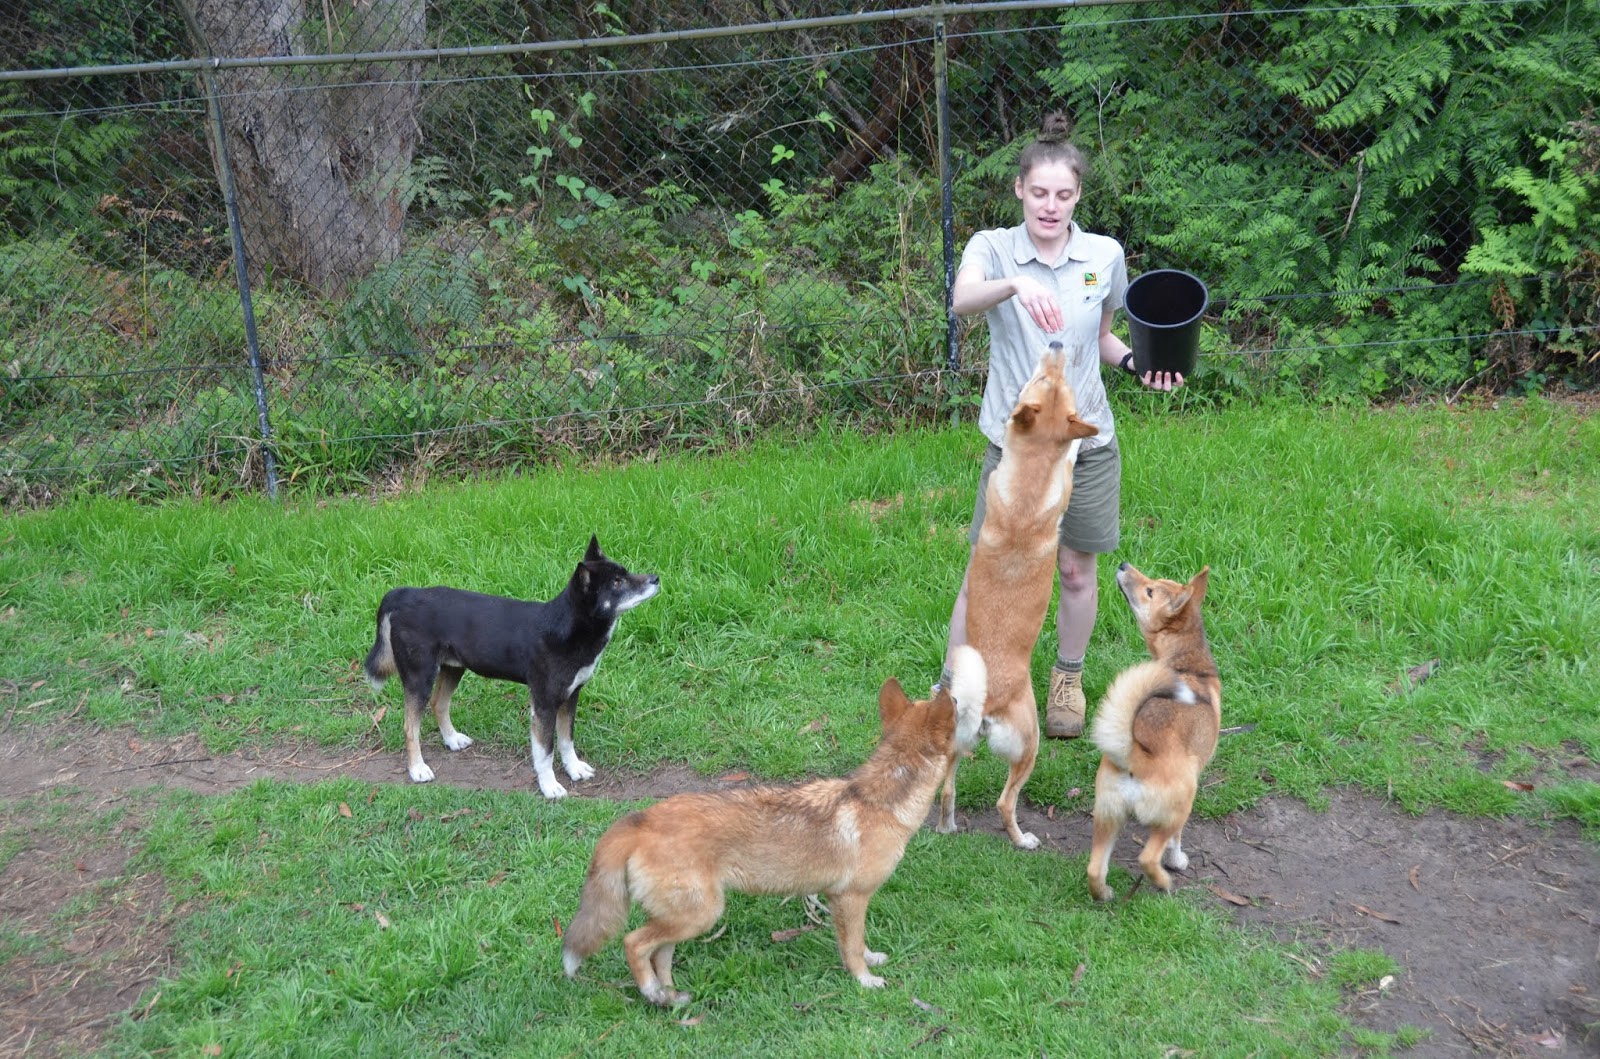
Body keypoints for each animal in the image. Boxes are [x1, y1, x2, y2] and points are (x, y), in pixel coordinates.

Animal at [363, 535, 659, 797]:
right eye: (618, 582)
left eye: (624, 572)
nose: (656, 578)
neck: (567, 627)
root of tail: (403, 594)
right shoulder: (543, 704)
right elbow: (546, 752)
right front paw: (549, 786)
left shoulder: (571, 696)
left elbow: (566, 740)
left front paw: (574, 769)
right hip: (419, 676)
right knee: (410, 726)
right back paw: (417, 769)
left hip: (453, 668)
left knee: (439, 703)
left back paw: (452, 739)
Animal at [560, 645, 987, 1007]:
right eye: (959, 712)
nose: (968, 710)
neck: (880, 802)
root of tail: (639, 820)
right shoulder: (851, 898)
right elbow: (852, 950)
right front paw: (865, 981)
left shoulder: (844, 901)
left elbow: (860, 943)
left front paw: (872, 960)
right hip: (700, 915)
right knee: (633, 943)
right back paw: (651, 992)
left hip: (686, 920)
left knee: (658, 955)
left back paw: (669, 997)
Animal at [938, 342, 1098, 849]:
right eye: (1044, 381)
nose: (1057, 344)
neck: (1031, 473)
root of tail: (985, 701)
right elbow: (1070, 456)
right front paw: (1079, 441)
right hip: (1029, 747)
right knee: (1005, 803)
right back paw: (1023, 839)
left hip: (957, 747)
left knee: (946, 788)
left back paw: (947, 826)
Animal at [1086, 563, 1219, 901]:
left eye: (1152, 587)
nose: (1123, 564)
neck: (1187, 666)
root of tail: (1135, 755)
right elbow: (1176, 842)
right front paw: (1177, 860)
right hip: (1179, 805)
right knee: (1147, 857)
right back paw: (1163, 881)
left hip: (1107, 816)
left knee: (1095, 868)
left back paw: (1104, 894)